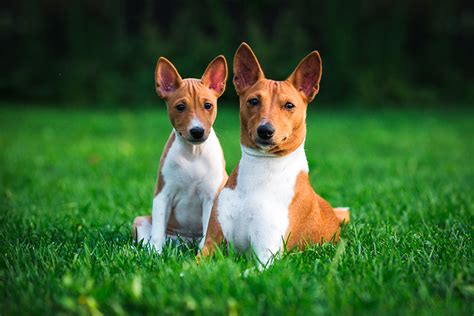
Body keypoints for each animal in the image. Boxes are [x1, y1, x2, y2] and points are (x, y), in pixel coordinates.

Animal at [132, 55, 229, 254]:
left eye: (208, 105)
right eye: (180, 107)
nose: (197, 131)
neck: (193, 154)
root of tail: (186, 241)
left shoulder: (210, 197)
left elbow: (207, 231)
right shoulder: (163, 194)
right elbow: (157, 232)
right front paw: (155, 255)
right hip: (142, 221)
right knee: (148, 237)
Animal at [198, 43, 350, 266]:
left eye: (289, 105)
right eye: (253, 101)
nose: (265, 130)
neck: (262, 169)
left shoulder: (266, 255)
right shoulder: (211, 244)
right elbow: (190, 266)